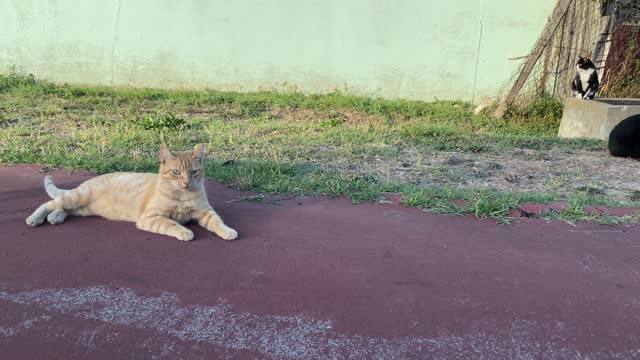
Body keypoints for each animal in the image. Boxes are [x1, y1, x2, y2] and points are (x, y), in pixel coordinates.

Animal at [24, 144, 240, 242]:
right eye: (176, 172)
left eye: (194, 172)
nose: (186, 183)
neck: (182, 195)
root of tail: (89, 180)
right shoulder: (151, 217)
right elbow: (172, 224)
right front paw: (184, 231)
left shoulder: (205, 212)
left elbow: (217, 222)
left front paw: (228, 231)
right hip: (77, 197)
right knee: (49, 204)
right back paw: (35, 218)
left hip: (82, 208)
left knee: (63, 209)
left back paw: (55, 217)